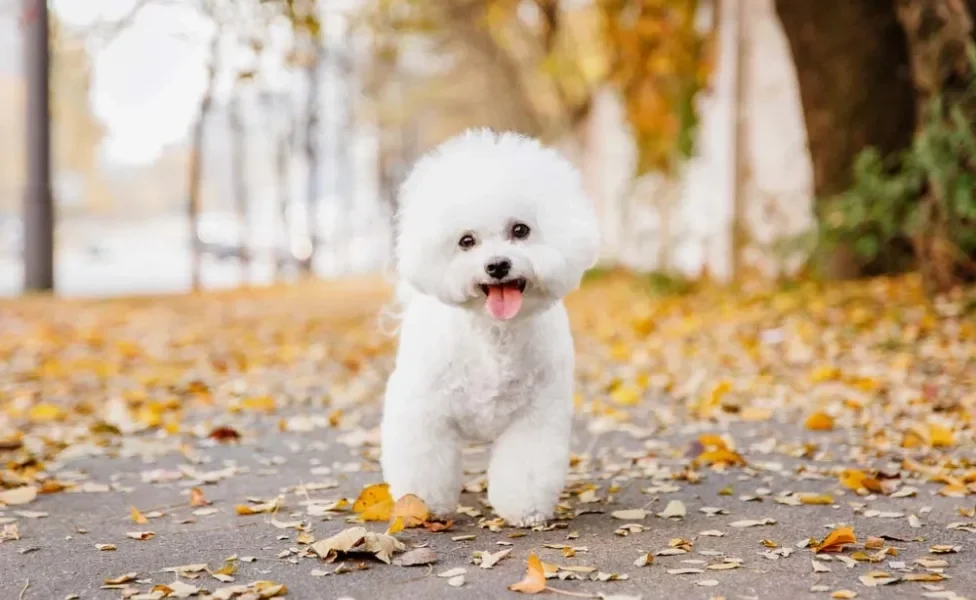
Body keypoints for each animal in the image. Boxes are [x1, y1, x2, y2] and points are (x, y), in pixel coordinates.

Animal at [380, 126, 596, 524]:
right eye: (466, 241)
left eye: (520, 230)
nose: (497, 265)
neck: (495, 335)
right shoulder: (424, 410)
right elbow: (424, 461)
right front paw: (422, 505)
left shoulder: (535, 415)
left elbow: (526, 466)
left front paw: (524, 509)